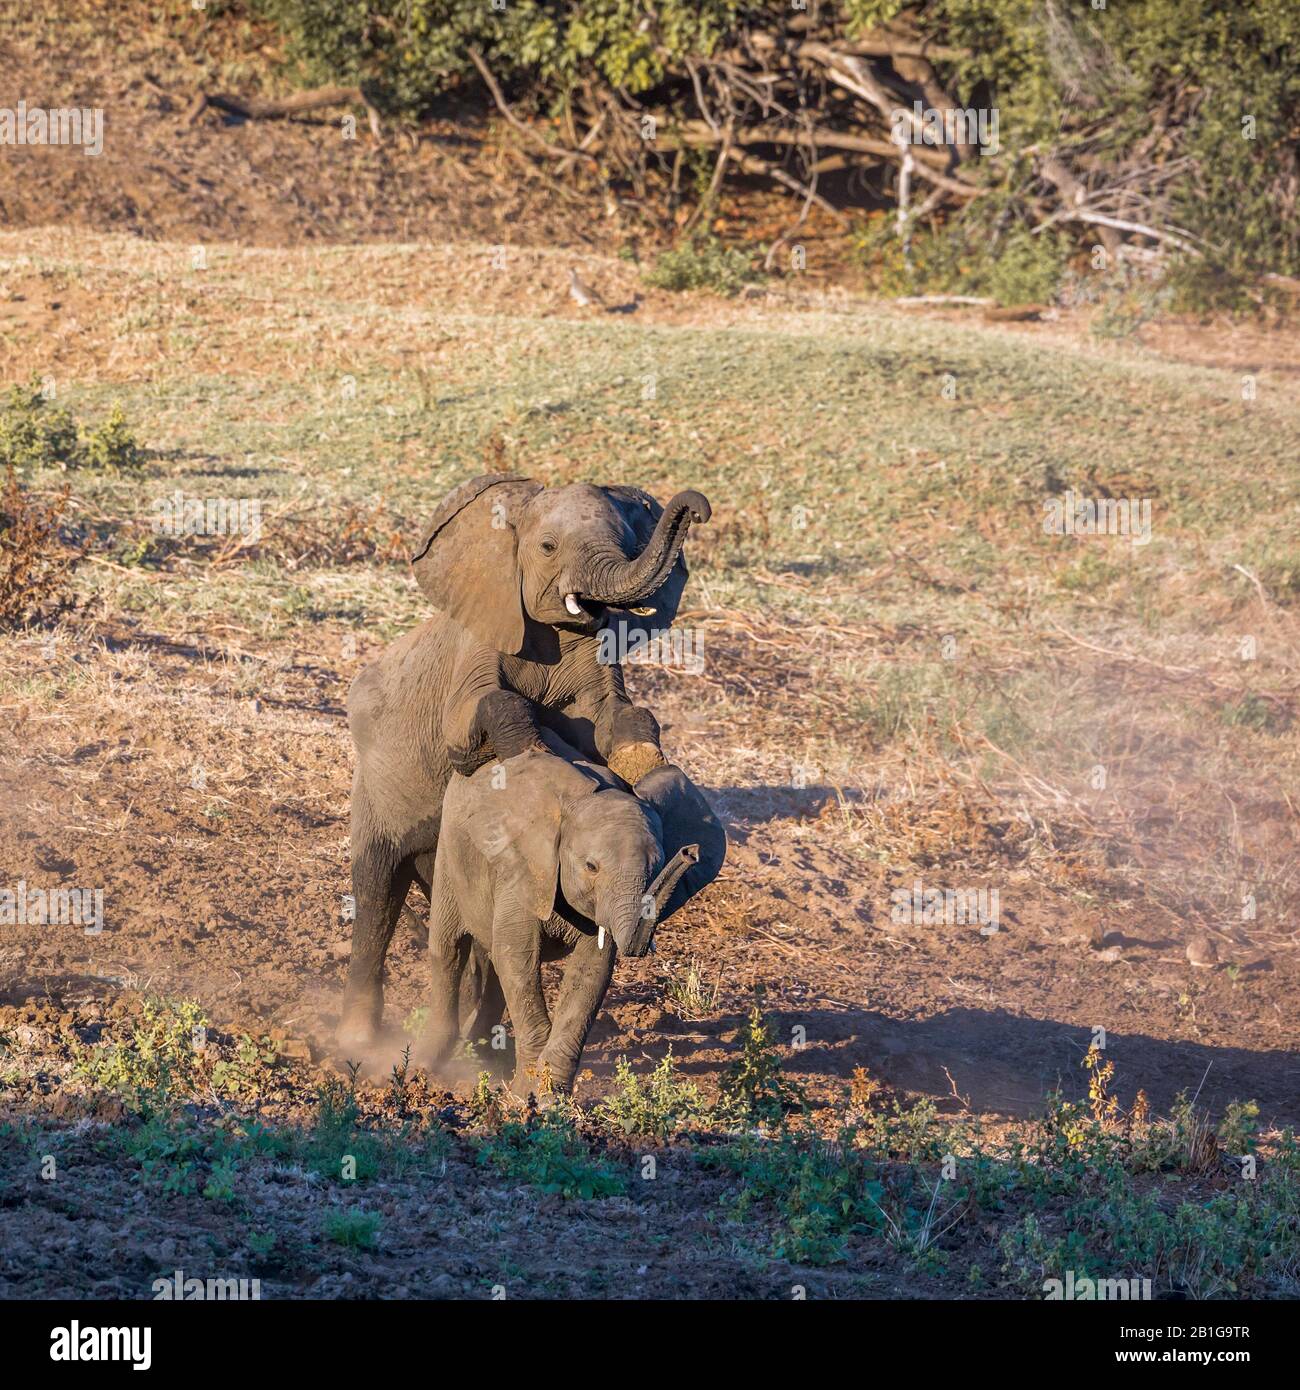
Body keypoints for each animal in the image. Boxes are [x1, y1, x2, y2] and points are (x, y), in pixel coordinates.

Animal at [340, 472, 728, 1045]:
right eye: (547, 548)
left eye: (627, 544)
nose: (697, 508)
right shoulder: (480, 638)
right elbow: (478, 716)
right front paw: (535, 753)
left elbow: (623, 719)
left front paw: (642, 767)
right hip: (375, 781)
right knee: (376, 892)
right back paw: (355, 1040)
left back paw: (482, 1045)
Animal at [419, 745, 711, 1089]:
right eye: (591, 867)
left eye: (657, 866)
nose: (690, 852)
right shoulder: (524, 868)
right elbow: (517, 956)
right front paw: (524, 1091)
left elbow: (590, 972)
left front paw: (545, 1094)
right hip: (449, 850)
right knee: (449, 949)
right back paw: (426, 1067)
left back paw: (479, 1057)